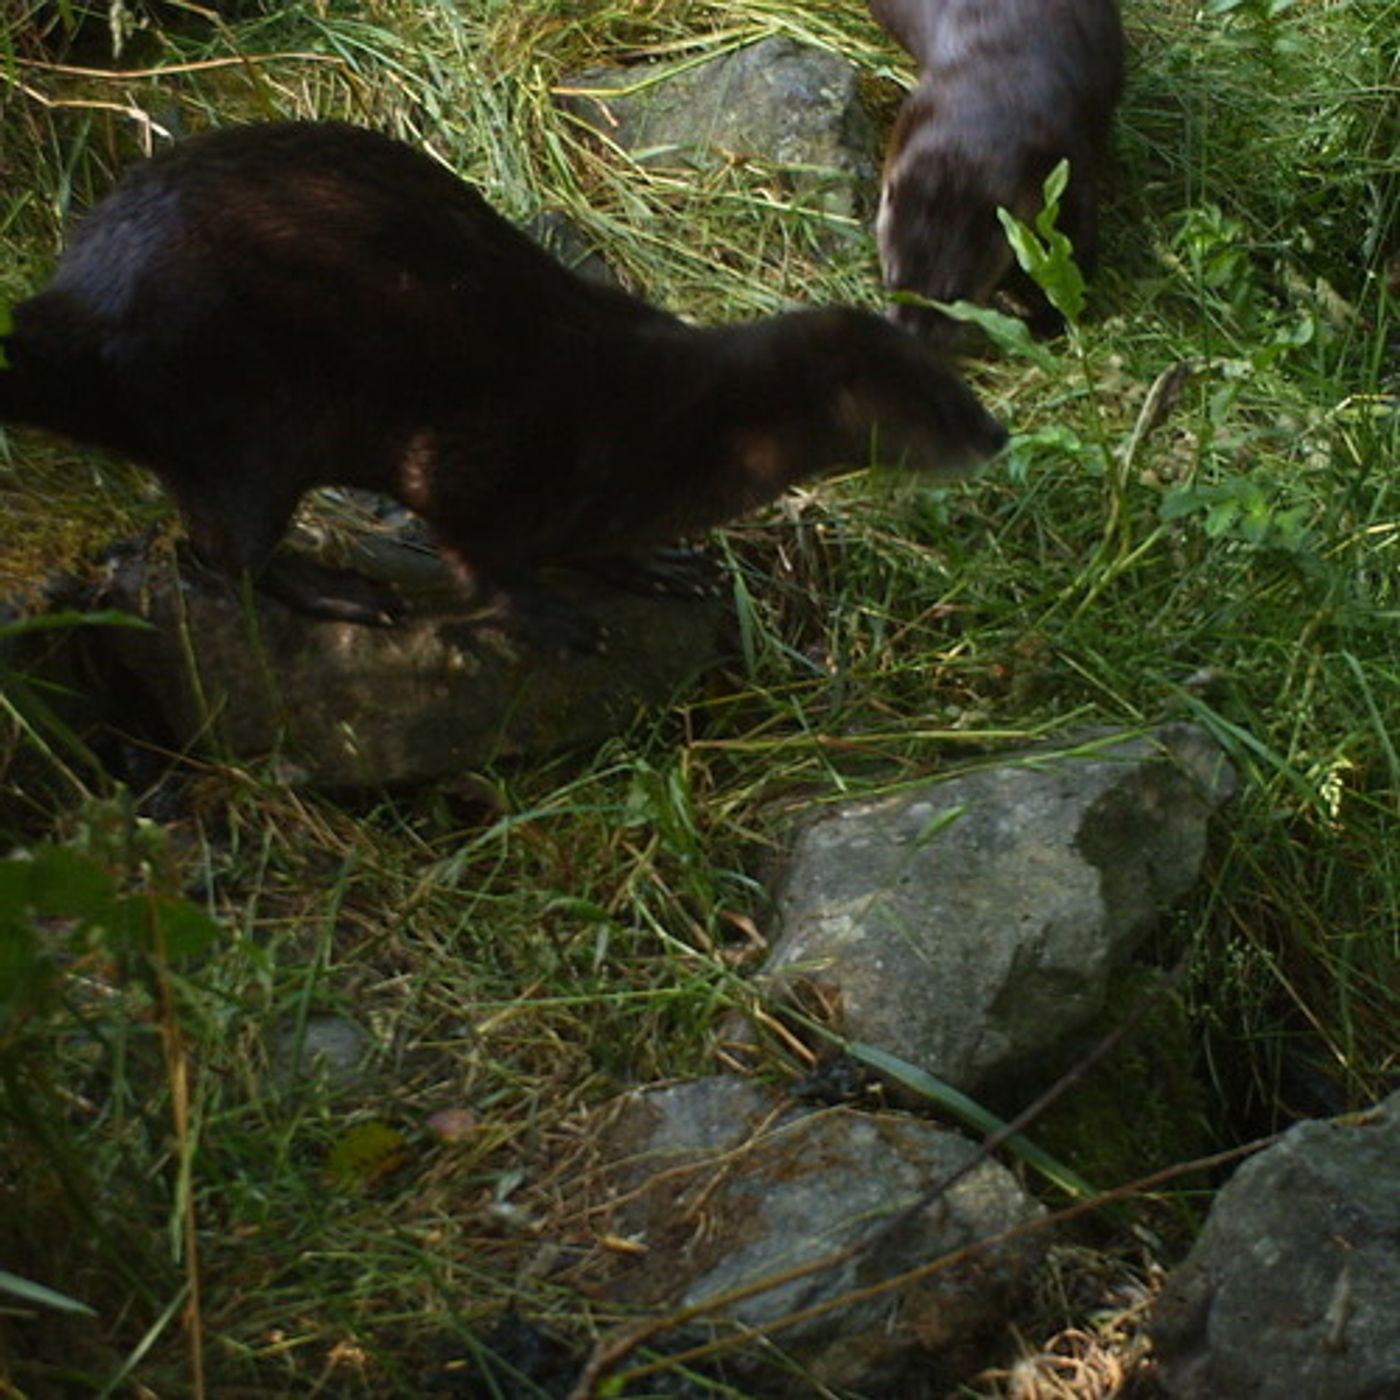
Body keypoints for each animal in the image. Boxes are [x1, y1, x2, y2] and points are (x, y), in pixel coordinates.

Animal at [0, 121, 1006, 626]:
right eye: (941, 402)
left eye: (962, 379)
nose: (998, 435)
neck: (688, 427)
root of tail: (79, 310)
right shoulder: (495, 451)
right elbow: (477, 553)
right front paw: (550, 609)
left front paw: (657, 565)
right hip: (239, 416)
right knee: (224, 549)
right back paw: (341, 594)